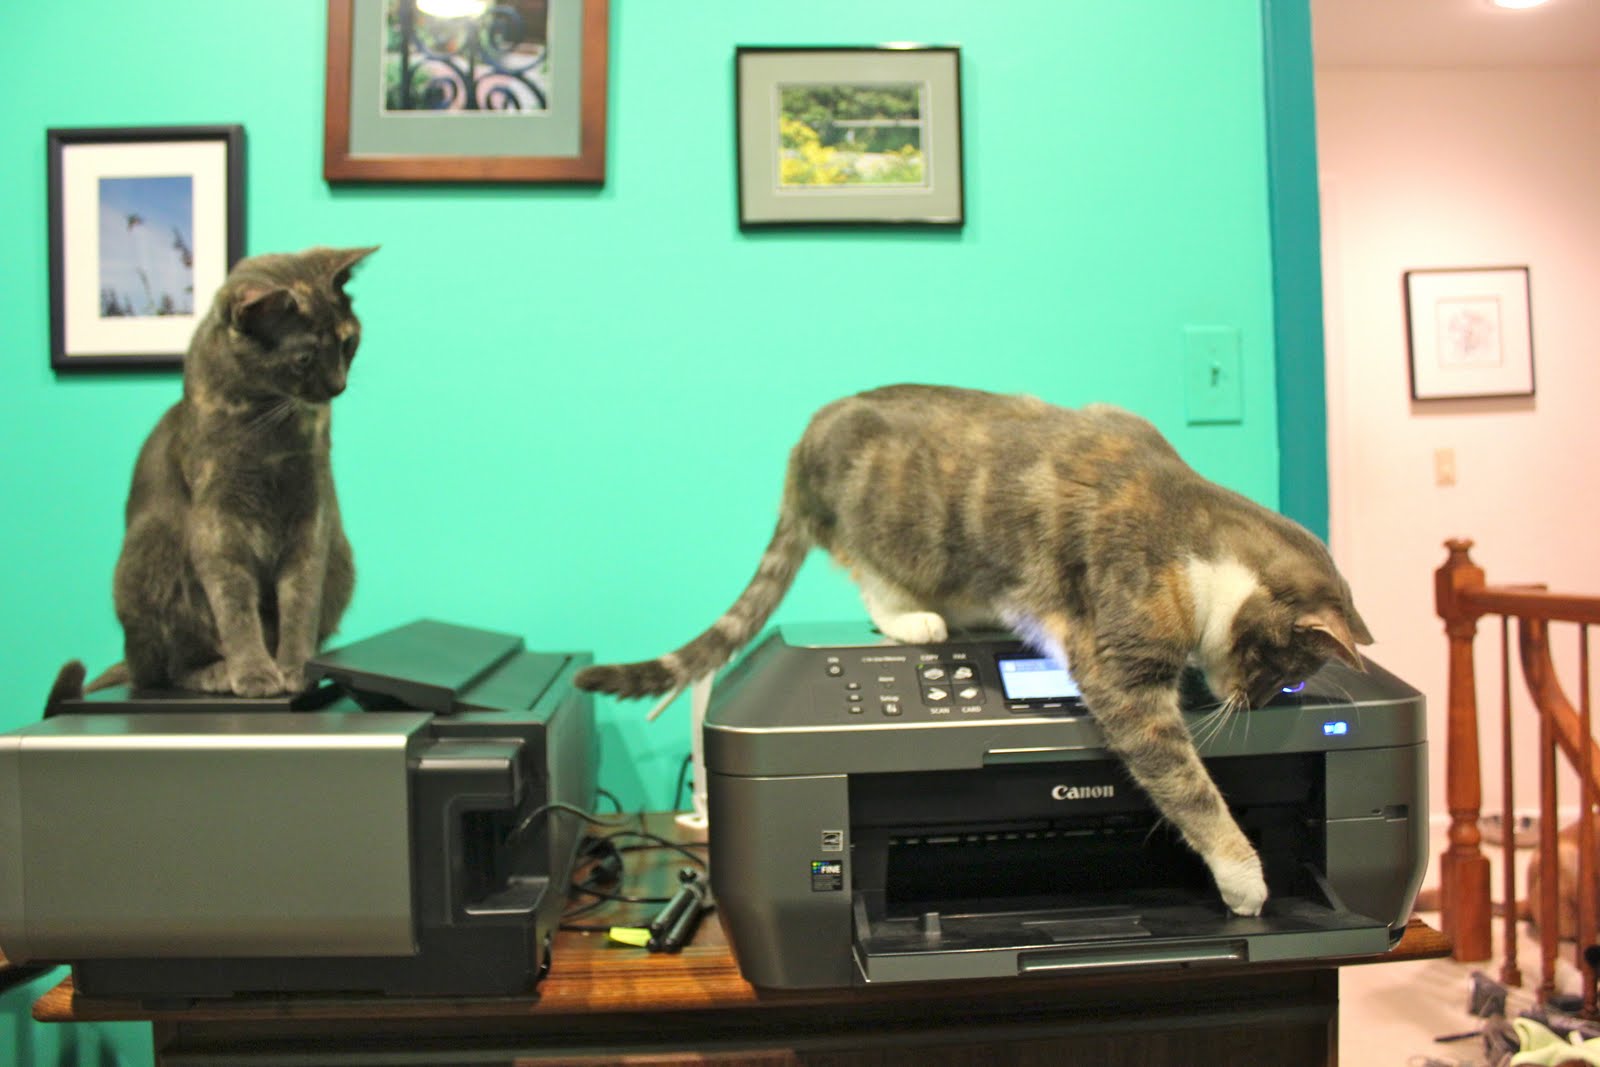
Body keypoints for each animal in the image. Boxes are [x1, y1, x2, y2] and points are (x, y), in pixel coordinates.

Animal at [61, 245, 377, 700]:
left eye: (348, 340)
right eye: (303, 358)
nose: (338, 386)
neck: (266, 427)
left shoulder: (312, 510)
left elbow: (300, 599)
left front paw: (296, 668)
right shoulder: (216, 520)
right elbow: (233, 603)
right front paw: (255, 673)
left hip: (342, 557)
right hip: (150, 546)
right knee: (165, 669)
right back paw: (217, 672)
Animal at [575, 384, 1373, 916]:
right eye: (1282, 668)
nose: (1261, 704)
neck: (1199, 536)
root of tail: (804, 443)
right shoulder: (1124, 672)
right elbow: (1188, 786)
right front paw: (1245, 880)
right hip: (898, 525)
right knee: (868, 569)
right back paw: (917, 620)